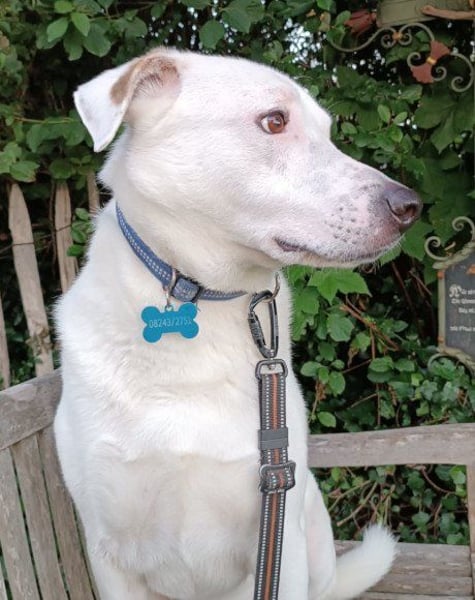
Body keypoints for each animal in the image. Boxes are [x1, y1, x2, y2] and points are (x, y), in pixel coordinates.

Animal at [54, 47, 421, 600]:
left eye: (327, 132)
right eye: (274, 121)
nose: (410, 207)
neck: (204, 301)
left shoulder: (279, 534)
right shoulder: (109, 554)